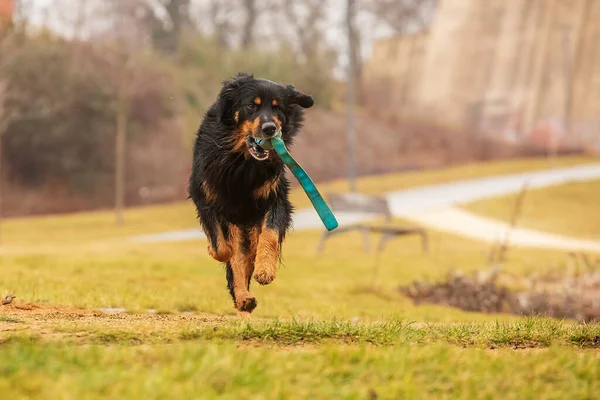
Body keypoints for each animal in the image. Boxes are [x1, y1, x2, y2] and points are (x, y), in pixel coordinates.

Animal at [188, 73, 314, 314]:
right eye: (250, 106)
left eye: (277, 107)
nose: (269, 128)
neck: (242, 162)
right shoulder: (205, 196)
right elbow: (223, 249)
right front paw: (218, 251)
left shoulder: (276, 198)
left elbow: (269, 235)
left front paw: (265, 269)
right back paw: (243, 298)